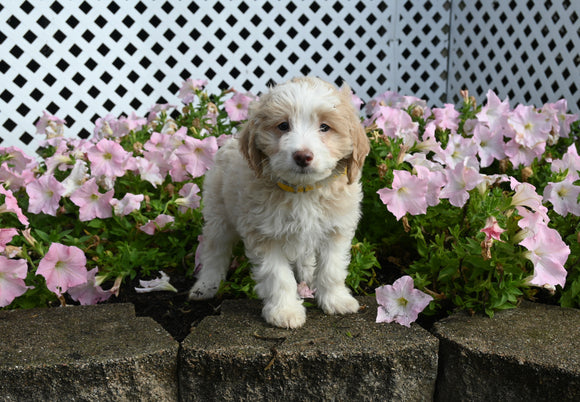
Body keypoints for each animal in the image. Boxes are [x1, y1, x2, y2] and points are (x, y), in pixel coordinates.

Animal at [190, 77, 372, 328]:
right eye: (283, 126)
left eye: (325, 127)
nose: (302, 156)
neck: (303, 191)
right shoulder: (265, 235)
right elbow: (279, 277)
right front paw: (285, 312)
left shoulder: (335, 229)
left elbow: (331, 269)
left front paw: (336, 300)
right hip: (218, 213)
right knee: (214, 250)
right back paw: (206, 285)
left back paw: (308, 274)